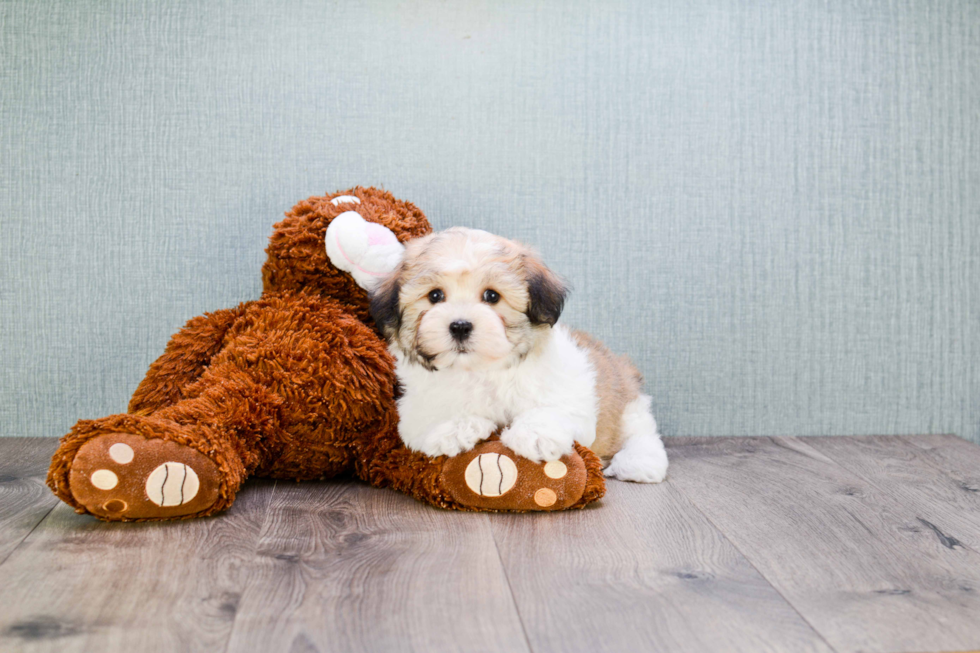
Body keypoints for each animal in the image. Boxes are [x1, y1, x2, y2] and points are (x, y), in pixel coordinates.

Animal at [372, 227, 668, 482]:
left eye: (492, 296)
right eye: (435, 296)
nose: (460, 326)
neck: (481, 370)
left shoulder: (571, 386)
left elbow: (554, 406)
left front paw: (534, 434)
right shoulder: (414, 406)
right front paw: (453, 428)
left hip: (627, 403)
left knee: (641, 432)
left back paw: (638, 463)